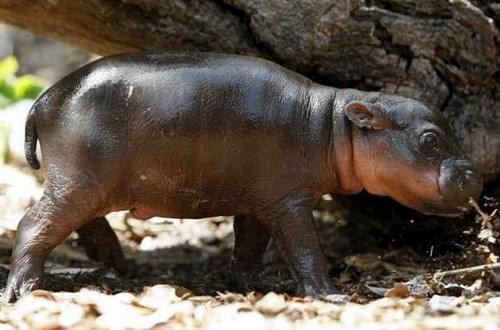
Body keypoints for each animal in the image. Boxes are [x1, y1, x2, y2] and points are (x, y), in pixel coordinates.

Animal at [2, 51, 480, 302]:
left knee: (82, 223)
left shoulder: (260, 199)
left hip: (87, 183)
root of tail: (42, 100)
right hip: (81, 180)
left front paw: (255, 286)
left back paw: (116, 264)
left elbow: (249, 247)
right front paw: (330, 295)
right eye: (430, 140)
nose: (474, 177)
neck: (331, 124)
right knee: (34, 223)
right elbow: (304, 247)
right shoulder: (289, 200)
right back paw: (24, 291)